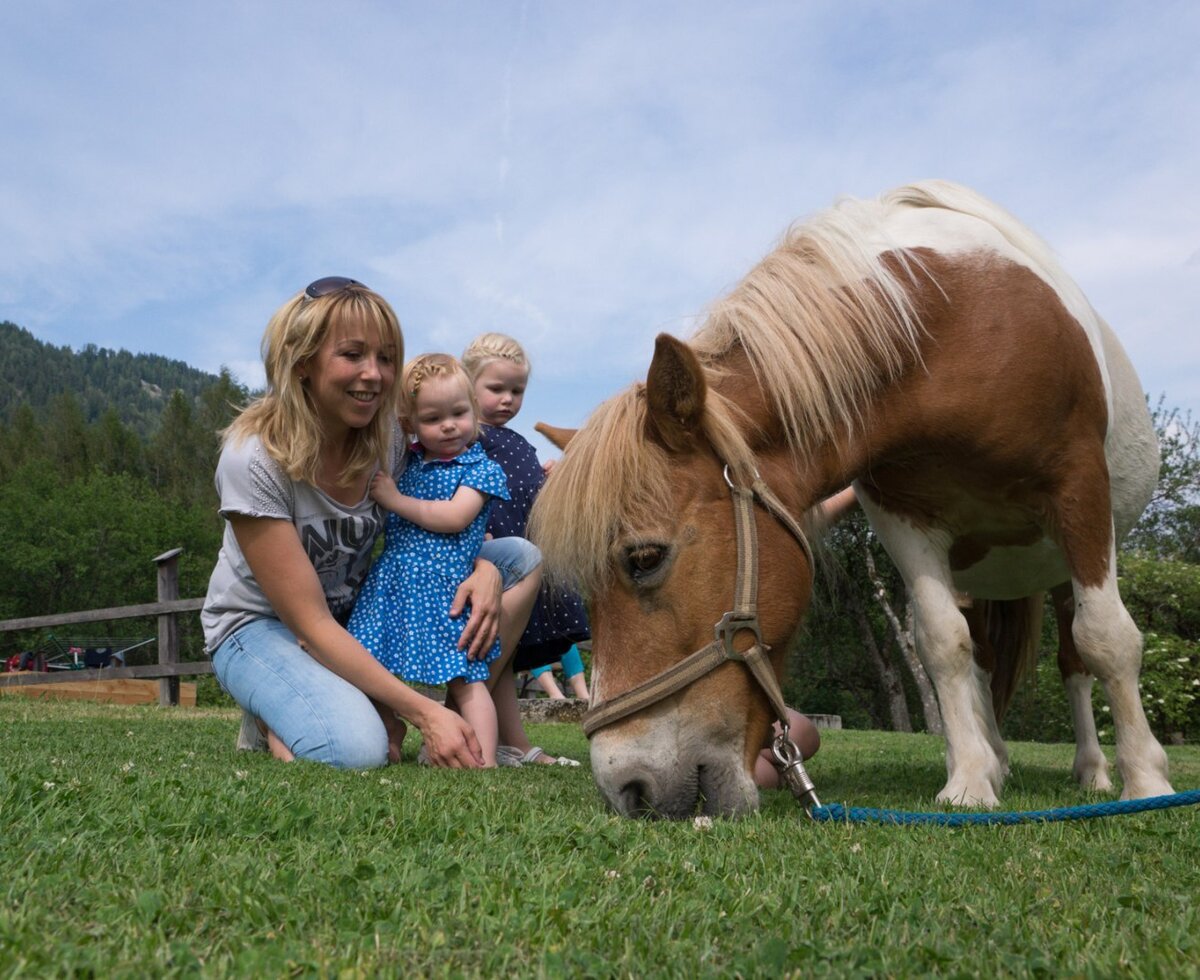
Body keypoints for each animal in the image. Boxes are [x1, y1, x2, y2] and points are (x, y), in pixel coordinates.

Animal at [528, 180, 1174, 819]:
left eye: (644, 558)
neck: (949, 323)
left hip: (1063, 561)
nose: (627, 788)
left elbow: (1108, 638)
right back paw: (994, 759)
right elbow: (941, 643)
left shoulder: (1079, 487)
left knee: (1075, 662)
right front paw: (970, 782)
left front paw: (1147, 780)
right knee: (982, 659)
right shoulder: (904, 517)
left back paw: (1094, 770)